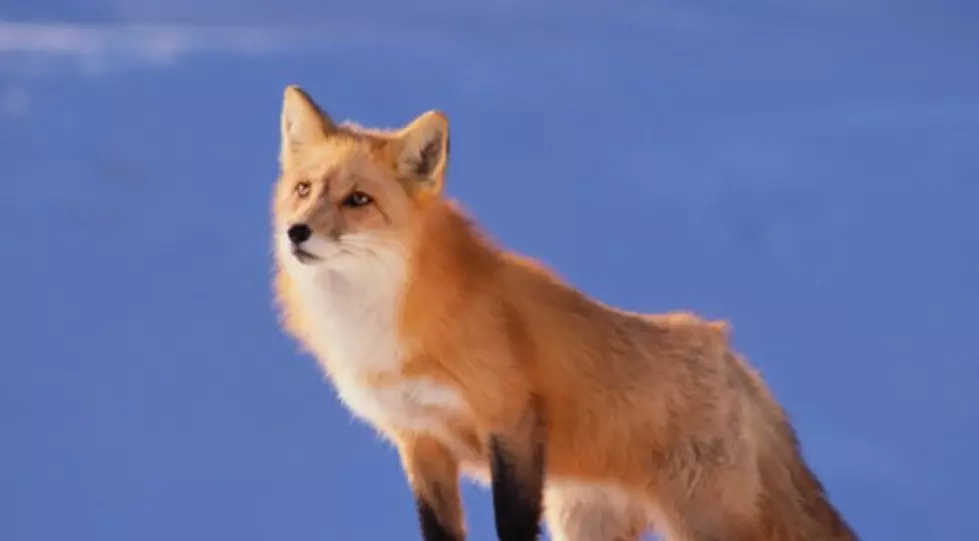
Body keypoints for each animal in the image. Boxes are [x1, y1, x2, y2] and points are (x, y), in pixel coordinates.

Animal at [270, 85, 856, 540]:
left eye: (358, 200)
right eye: (303, 190)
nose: (296, 232)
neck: (380, 320)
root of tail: (728, 351)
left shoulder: (512, 423)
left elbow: (510, 526)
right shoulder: (421, 443)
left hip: (702, 521)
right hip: (586, 520)